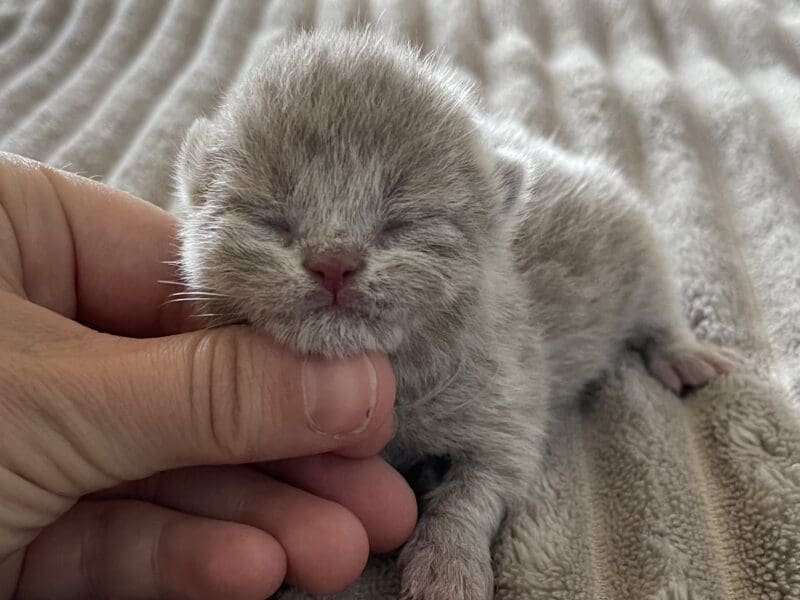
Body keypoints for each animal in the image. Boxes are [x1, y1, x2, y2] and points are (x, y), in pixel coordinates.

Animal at [175, 29, 736, 600]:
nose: (334, 263)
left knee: (660, 305)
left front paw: (447, 564)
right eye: (271, 219)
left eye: (400, 222)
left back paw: (685, 355)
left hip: (635, 240)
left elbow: (477, 489)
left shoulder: (509, 400)